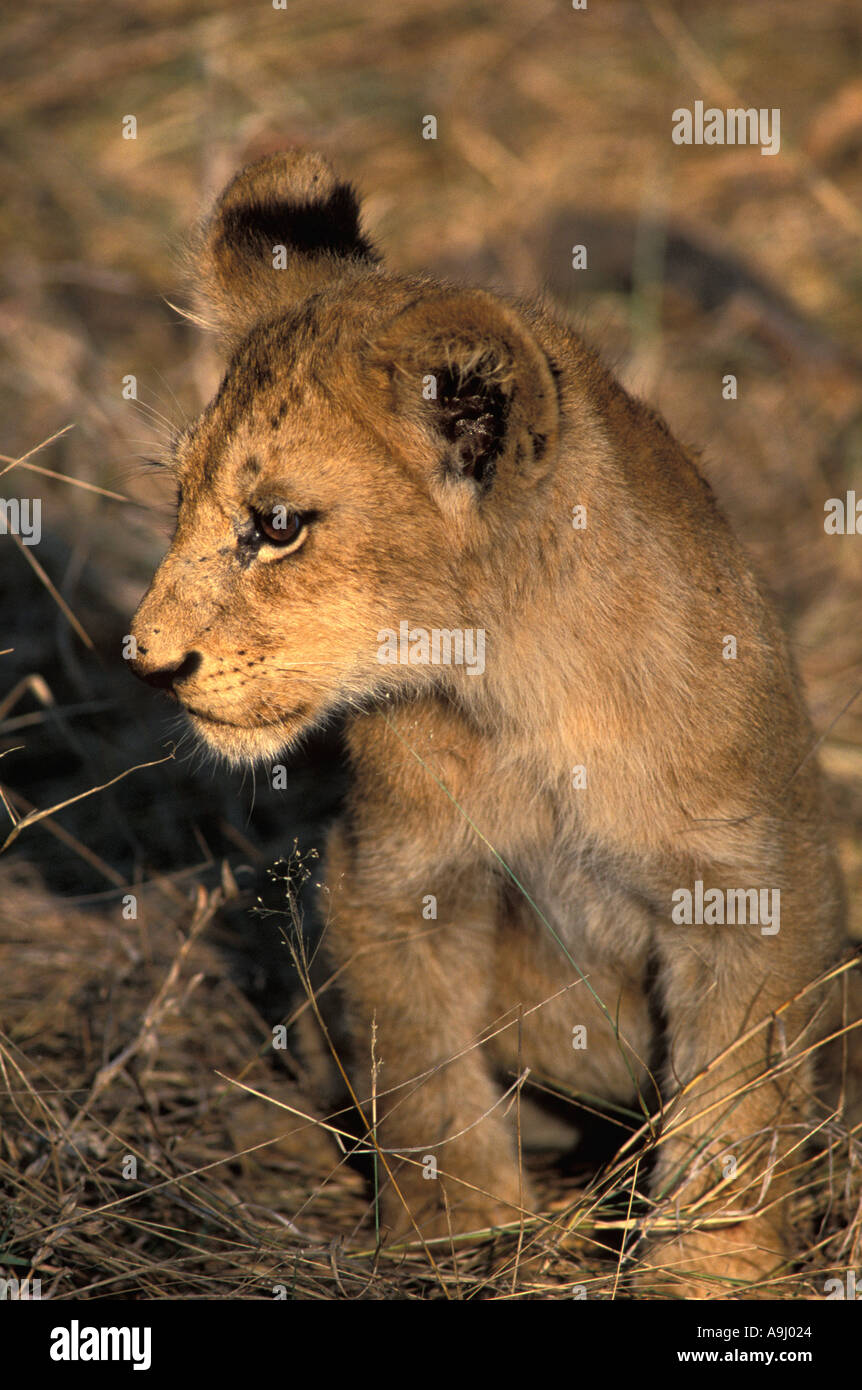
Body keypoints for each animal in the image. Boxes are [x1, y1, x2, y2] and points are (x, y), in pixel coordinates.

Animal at [130, 150, 860, 1297]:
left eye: (276, 526)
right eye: (182, 503)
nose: (147, 661)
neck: (517, 693)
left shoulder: (753, 886)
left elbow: (736, 1107)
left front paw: (708, 1269)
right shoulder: (391, 875)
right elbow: (422, 1075)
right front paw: (459, 1234)